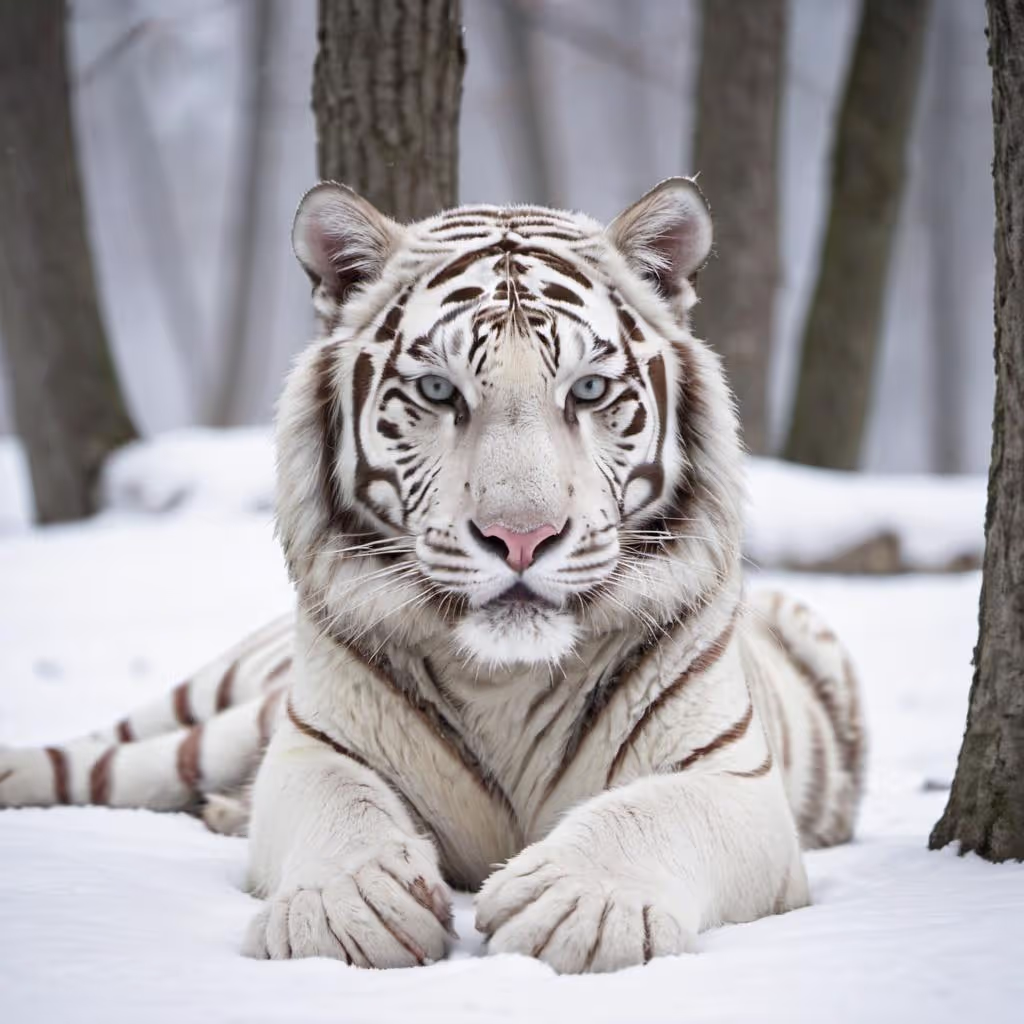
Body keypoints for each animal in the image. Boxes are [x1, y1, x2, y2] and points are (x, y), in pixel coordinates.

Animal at [0, 178, 864, 973]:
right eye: (439, 389)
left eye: (588, 389)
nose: (521, 536)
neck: (506, 682)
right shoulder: (315, 743)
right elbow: (342, 808)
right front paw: (343, 906)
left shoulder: (732, 774)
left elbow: (650, 814)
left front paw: (575, 906)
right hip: (237, 714)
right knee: (119, 758)